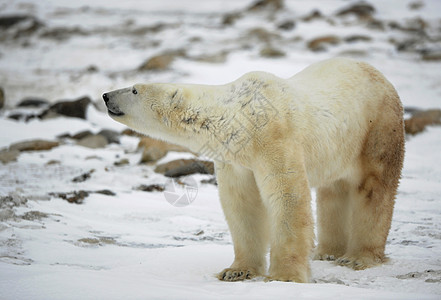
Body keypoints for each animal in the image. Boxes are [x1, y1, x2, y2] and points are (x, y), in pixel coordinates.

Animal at [102, 57, 402, 282]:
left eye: (134, 89)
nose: (105, 95)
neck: (241, 119)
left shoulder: (275, 138)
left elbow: (287, 198)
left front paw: (284, 276)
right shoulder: (236, 158)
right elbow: (242, 204)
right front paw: (236, 271)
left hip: (377, 129)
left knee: (375, 189)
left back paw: (359, 257)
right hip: (338, 146)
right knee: (333, 190)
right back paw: (326, 252)